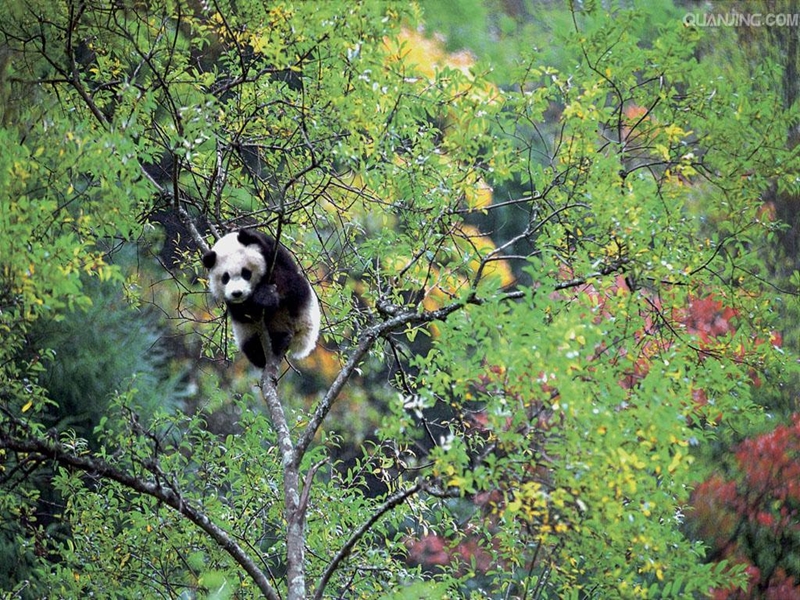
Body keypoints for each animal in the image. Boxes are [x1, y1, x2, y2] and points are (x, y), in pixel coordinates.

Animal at [202, 229, 320, 368]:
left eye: (246, 273)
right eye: (225, 278)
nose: (237, 293)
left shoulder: (274, 253)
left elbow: (285, 281)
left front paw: (265, 297)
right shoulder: (233, 303)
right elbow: (240, 313)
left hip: (303, 318)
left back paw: (279, 339)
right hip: (247, 333)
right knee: (251, 347)